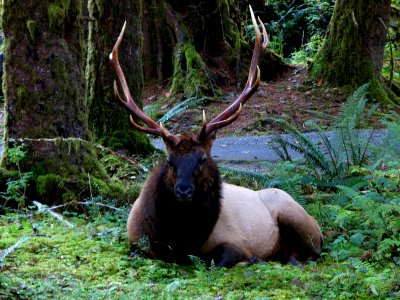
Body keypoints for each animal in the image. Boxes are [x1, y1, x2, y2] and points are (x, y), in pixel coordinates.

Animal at [111, 6, 324, 268]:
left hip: (297, 217)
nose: (183, 191)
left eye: (202, 159)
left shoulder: (235, 242)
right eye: (170, 161)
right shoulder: (134, 239)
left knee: (312, 253)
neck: (176, 239)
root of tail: (318, 226)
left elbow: (221, 259)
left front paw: (251, 259)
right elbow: (135, 252)